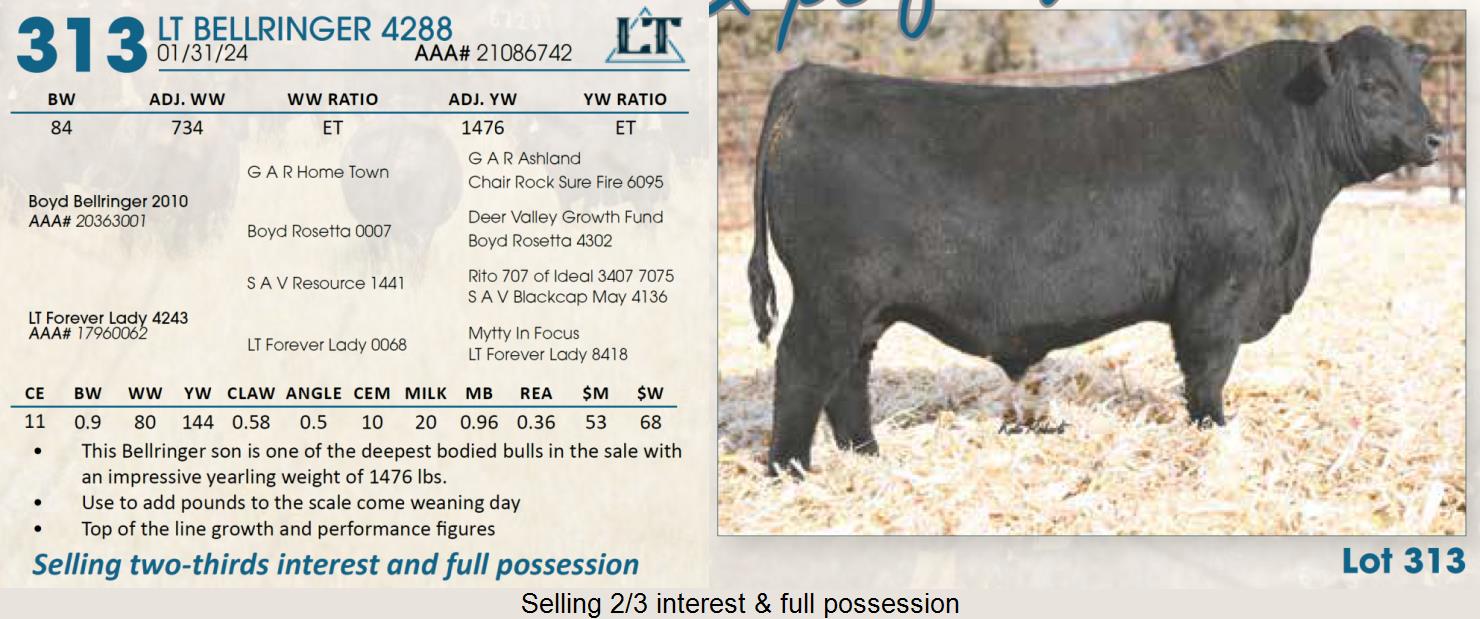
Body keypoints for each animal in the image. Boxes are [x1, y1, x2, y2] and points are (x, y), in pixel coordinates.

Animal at [748, 26, 1443, 474]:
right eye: (1375, 85)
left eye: (1414, 80)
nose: (1436, 135)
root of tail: (815, 78)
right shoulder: (1218, 290)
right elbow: (1208, 370)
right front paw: (1213, 434)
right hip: (830, 296)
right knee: (804, 367)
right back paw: (790, 470)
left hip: (862, 307)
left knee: (848, 376)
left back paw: (865, 455)